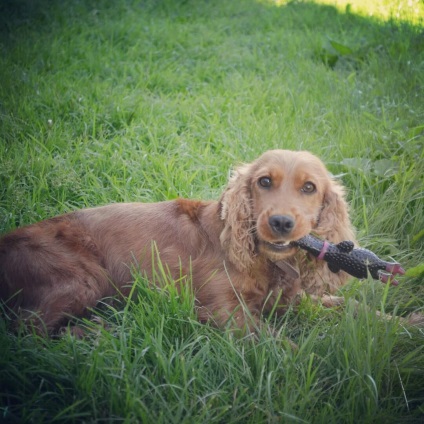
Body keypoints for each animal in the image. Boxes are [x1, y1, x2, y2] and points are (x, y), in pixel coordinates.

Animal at [0, 150, 358, 334]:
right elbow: (277, 345)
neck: (266, 261)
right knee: (28, 332)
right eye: (265, 181)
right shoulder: (223, 310)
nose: (281, 223)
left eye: (309, 187)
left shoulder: (286, 300)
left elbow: (337, 304)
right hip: (82, 279)